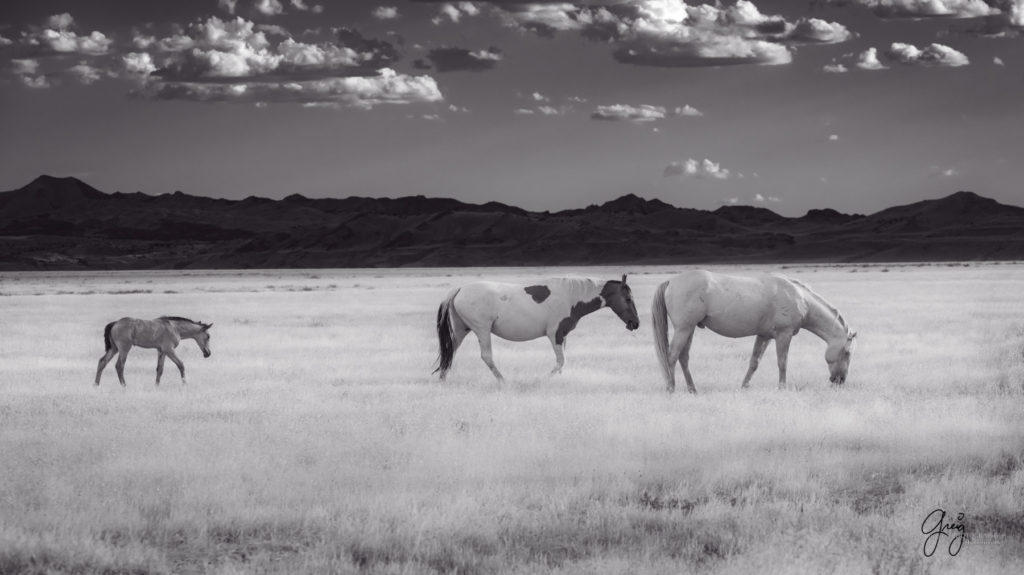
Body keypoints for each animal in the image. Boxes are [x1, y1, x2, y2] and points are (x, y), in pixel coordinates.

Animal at [434, 276, 638, 382]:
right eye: (628, 299)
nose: (636, 323)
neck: (571, 297)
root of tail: (460, 289)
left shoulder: (562, 336)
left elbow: (562, 362)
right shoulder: (555, 334)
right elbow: (560, 362)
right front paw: (543, 380)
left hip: (461, 330)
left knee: (450, 351)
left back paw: (443, 378)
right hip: (482, 330)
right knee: (486, 357)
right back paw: (502, 381)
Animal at [651, 270, 851, 390]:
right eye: (847, 353)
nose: (840, 381)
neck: (800, 299)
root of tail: (671, 281)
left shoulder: (764, 336)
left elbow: (754, 362)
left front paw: (744, 387)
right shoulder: (783, 335)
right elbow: (783, 362)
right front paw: (782, 387)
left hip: (689, 330)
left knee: (683, 358)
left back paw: (693, 389)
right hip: (683, 329)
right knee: (671, 357)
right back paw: (671, 388)